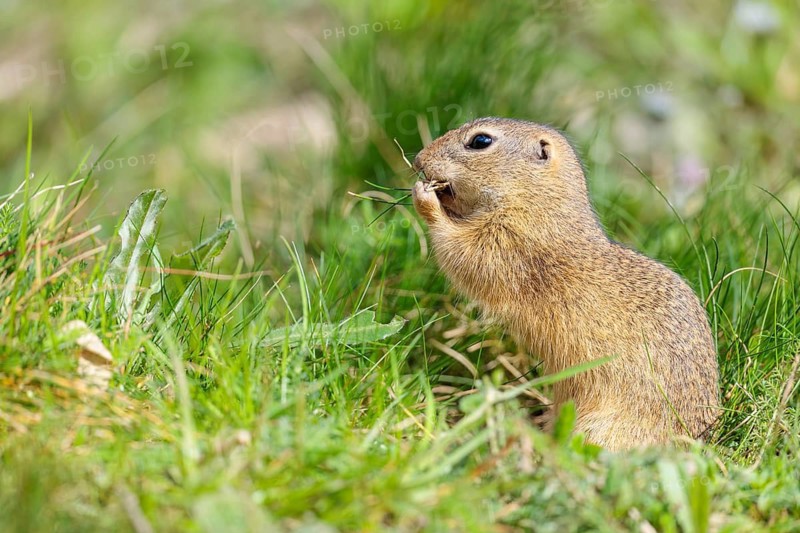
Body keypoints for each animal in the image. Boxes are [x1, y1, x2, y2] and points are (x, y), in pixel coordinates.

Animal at [411, 117, 720, 450]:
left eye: (480, 141)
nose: (418, 159)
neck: (542, 203)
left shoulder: (508, 243)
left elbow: (466, 254)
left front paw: (424, 197)